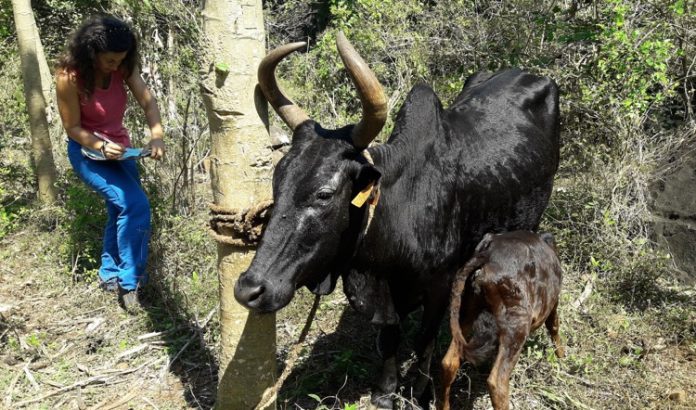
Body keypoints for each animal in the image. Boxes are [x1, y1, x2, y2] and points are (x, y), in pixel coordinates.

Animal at [440, 231, 564, 410]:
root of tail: (487, 254)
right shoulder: (553, 302)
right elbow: (554, 325)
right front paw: (562, 356)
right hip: (517, 324)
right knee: (497, 382)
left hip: (466, 310)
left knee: (448, 363)